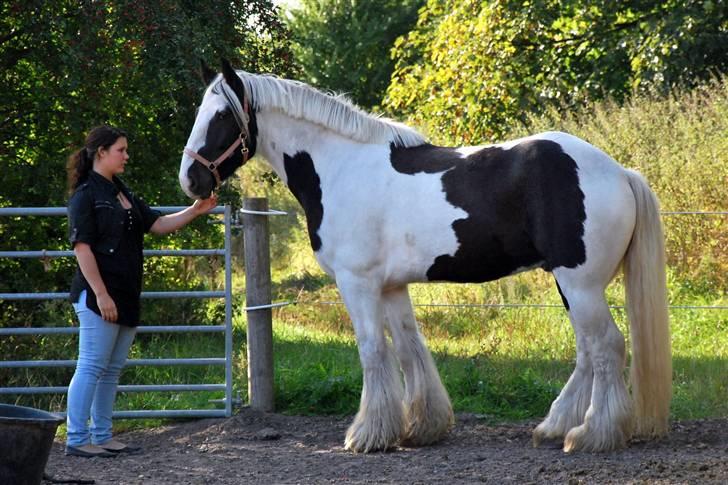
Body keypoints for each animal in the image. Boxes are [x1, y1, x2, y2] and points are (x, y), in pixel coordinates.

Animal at [178, 58, 672, 452]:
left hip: (580, 283)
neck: (340, 167)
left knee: (606, 346)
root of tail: (620, 172)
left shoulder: (357, 283)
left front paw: (368, 434)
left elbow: (373, 351)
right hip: (570, 284)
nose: (190, 181)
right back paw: (555, 427)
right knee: (589, 351)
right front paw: (421, 428)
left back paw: (592, 435)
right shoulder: (392, 286)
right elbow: (409, 349)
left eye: (221, 116)